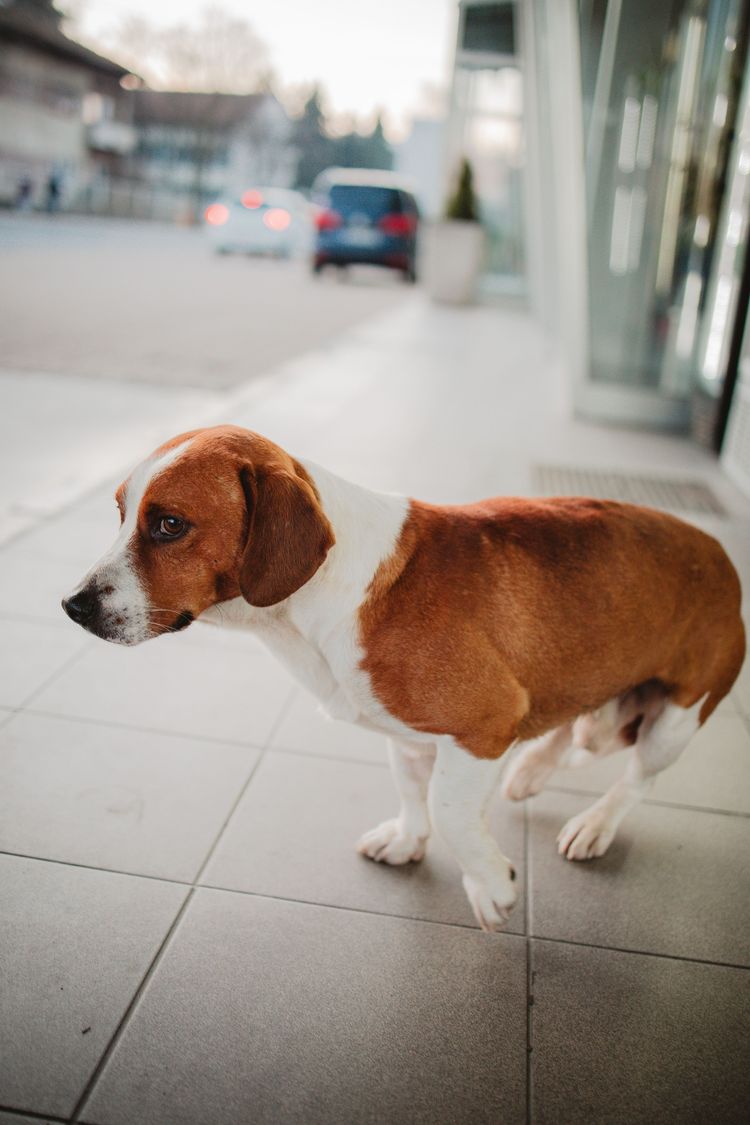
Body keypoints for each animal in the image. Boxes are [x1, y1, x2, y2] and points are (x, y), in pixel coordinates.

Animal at [62, 423, 746, 931]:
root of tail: (722, 556)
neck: (326, 598)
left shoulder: (483, 728)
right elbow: (413, 793)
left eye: (169, 524)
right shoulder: (410, 736)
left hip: (676, 721)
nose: (71, 606)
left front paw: (490, 884)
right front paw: (410, 841)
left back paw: (596, 823)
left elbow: (449, 809)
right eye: (120, 513)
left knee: (636, 780)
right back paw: (533, 771)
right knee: (571, 724)